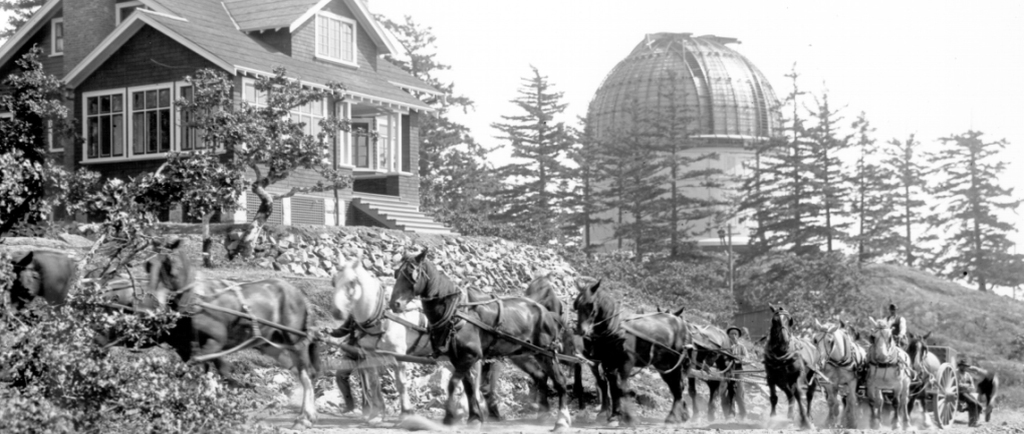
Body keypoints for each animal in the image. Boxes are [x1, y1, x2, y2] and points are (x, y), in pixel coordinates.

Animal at [138, 239, 317, 425]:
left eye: (168, 265)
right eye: (148, 265)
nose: (147, 307)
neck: (196, 300)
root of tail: (298, 294)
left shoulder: (215, 342)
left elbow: (202, 370)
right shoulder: (191, 347)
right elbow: (207, 372)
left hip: (294, 340)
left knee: (306, 374)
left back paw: (306, 415)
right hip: (272, 345)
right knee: (296, 370)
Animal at [387, 248, 573, 429]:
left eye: (411, 274)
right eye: (396, 273)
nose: (395, 304)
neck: (455, 311)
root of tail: (547, 312)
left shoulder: (471, 355)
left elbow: (453, 383)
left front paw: (450, 417)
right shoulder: (457, 358)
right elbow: (468, 386)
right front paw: (474, 417)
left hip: (546, 354)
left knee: (560, 382)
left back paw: (561, 420)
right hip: (525, 353)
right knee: (541, 377)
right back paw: (543, 413)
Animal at [573, 276, 692, 425]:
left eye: (590, 304)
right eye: (576, 305)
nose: (580, 331)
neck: (614, 328)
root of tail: (682, 324)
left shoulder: (626, 362)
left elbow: (621, 388)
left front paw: (628, 417)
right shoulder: (608, 363)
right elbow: (612, 388)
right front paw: (614, 415)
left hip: (675, 362)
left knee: (678, 386)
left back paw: (673, 416)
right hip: (663, 365)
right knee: (675, 387)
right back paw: (679, 415)